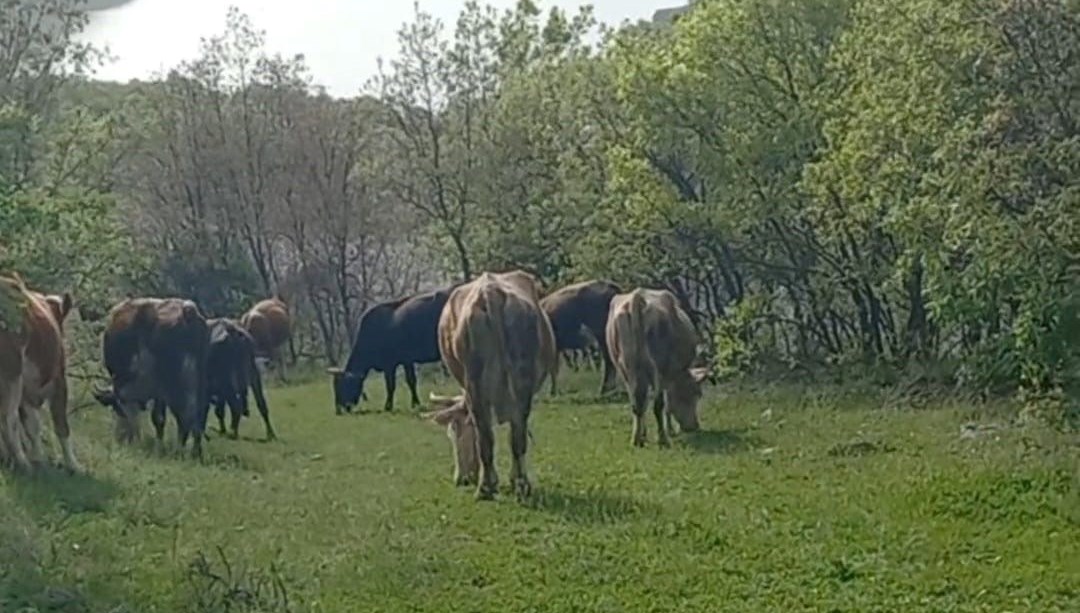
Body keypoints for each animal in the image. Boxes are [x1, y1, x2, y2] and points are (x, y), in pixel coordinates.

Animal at [0, 274, 78, 474]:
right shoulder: (59, 380)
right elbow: (61, 424)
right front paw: (73, 465)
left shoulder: (27, 393)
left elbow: (32, 425)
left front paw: (39, 459)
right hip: (12, 371)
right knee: (8, 419)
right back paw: (22, 463)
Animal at [93, 293, 211, 457]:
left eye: (116, 408)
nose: (120, 439)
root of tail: (188, 312)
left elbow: (154, 417)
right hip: (198, 378)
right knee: (199, 413)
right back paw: (195, 452)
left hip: (174, 382)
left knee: (185, 414)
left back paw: (179, 451)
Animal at [421, 270, 557, 500]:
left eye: (454, 432)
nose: (461, 479)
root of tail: (490, 292)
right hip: (518, 384)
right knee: (515, 436)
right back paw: (516, 484)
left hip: (477, 387)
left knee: (488, 435)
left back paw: (489, 486)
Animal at [604, 287, 712, 444]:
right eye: (697, 394)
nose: (694, 427)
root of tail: (638, 297)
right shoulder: (668, 376)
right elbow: (667, 404)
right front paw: (670, 431)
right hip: (658, 370)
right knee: (657, 404)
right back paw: (663, 439)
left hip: (626, 369)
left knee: (637, 403)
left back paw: (637, 439)